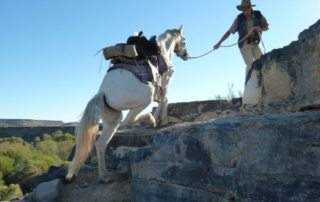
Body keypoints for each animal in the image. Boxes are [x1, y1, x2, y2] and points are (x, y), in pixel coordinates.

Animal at [66, 25, 189, 181]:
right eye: (184, 40)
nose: (186, 54)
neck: (162, 50)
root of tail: (102, 94)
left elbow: (163, 100)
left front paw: (161, 119)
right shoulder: (166, 82)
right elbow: (164, 100)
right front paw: (162, 120)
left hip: (112, 120)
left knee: (101, 144)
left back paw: (105, 175)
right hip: (145, 98)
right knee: (128, 120)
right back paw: (151, 119)